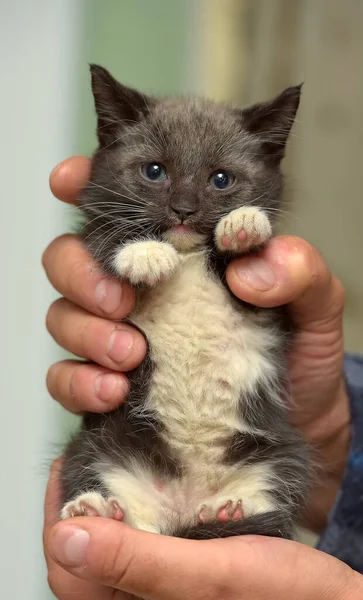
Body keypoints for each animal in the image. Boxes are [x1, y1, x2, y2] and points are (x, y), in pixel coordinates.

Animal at [59, 64, 310, 540]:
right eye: (155, 171)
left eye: (221, 179)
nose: (183, 209)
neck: (188, 255)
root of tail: (182, 510)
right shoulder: (93, 225)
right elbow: (103, 238)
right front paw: (144, 254)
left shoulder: (271, 306)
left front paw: (244, 225)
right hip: (95, 447)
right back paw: (95, 509)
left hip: (282, 454)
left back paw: (229, 512)